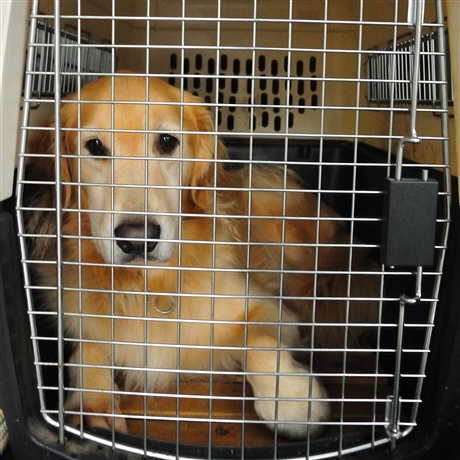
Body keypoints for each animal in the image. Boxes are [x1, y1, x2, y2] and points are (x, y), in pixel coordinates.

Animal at [25, 73, 380, 439]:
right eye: (94, 146)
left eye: (167, 142)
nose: (137, 240)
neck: (149, 287)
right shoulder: (76, 316)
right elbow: (86, 349)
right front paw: (92, 407)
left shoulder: (273, 311)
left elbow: (259, 341)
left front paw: (292, 399)